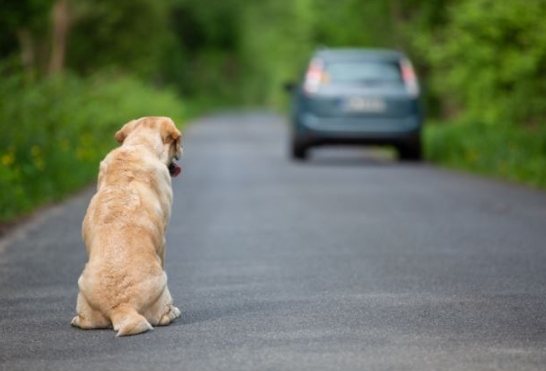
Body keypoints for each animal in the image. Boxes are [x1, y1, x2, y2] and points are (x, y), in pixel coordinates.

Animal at [71, 116, 183, 338]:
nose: (181, 154)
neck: (139, 145)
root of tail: (122, 308)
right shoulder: (163, 241)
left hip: (82, 290)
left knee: (84, 321)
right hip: (162, 284)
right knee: (163, 315)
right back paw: (173, 311)